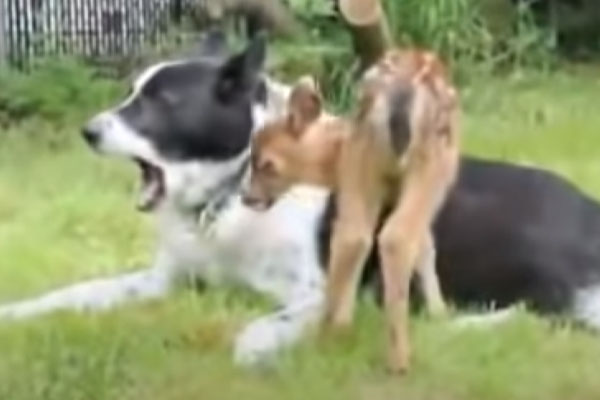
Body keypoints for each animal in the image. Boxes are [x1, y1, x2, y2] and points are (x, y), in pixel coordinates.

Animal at [3, 30, 600, 366]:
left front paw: (253, 350)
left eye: (162, 102)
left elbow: (267, 324)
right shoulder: (164, 279)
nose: (87, 131)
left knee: (551, 312)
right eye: (130, 94)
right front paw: (19, 311)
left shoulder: (315, 290)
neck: (228, 197)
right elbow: (77, 292)